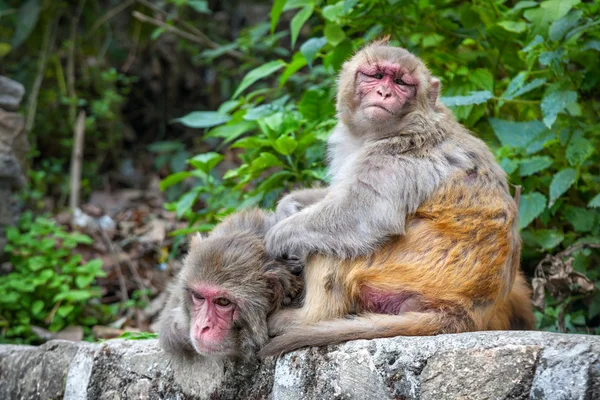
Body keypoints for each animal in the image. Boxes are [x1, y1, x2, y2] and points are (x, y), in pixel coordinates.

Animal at [258, 41, 536, 356]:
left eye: (401, 83)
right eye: (376, 75)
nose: (384, 93)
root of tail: (466, 312)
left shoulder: (398, 155)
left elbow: (361, 213)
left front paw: (277, 236)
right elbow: (338, 192)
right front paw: (288, 205)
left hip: (404, 271)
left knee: (337, 243)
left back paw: (309, 318)